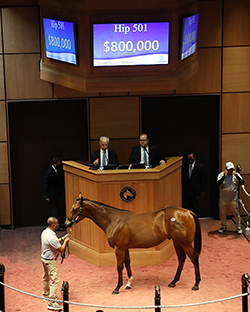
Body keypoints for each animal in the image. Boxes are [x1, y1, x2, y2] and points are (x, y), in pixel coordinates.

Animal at [64, 194, 201, 294]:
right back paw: (173, 282)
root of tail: (187, 212)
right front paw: (128, 283)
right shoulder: (124, 247)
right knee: (181, 258)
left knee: (194, 258)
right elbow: (127, 263)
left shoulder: (119, 248)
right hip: (177, 242)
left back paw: (196, 284)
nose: (66, 223)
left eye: (75, 209)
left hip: (185, 243)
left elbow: (119, 266)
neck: (113, 220)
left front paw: (117, 287)